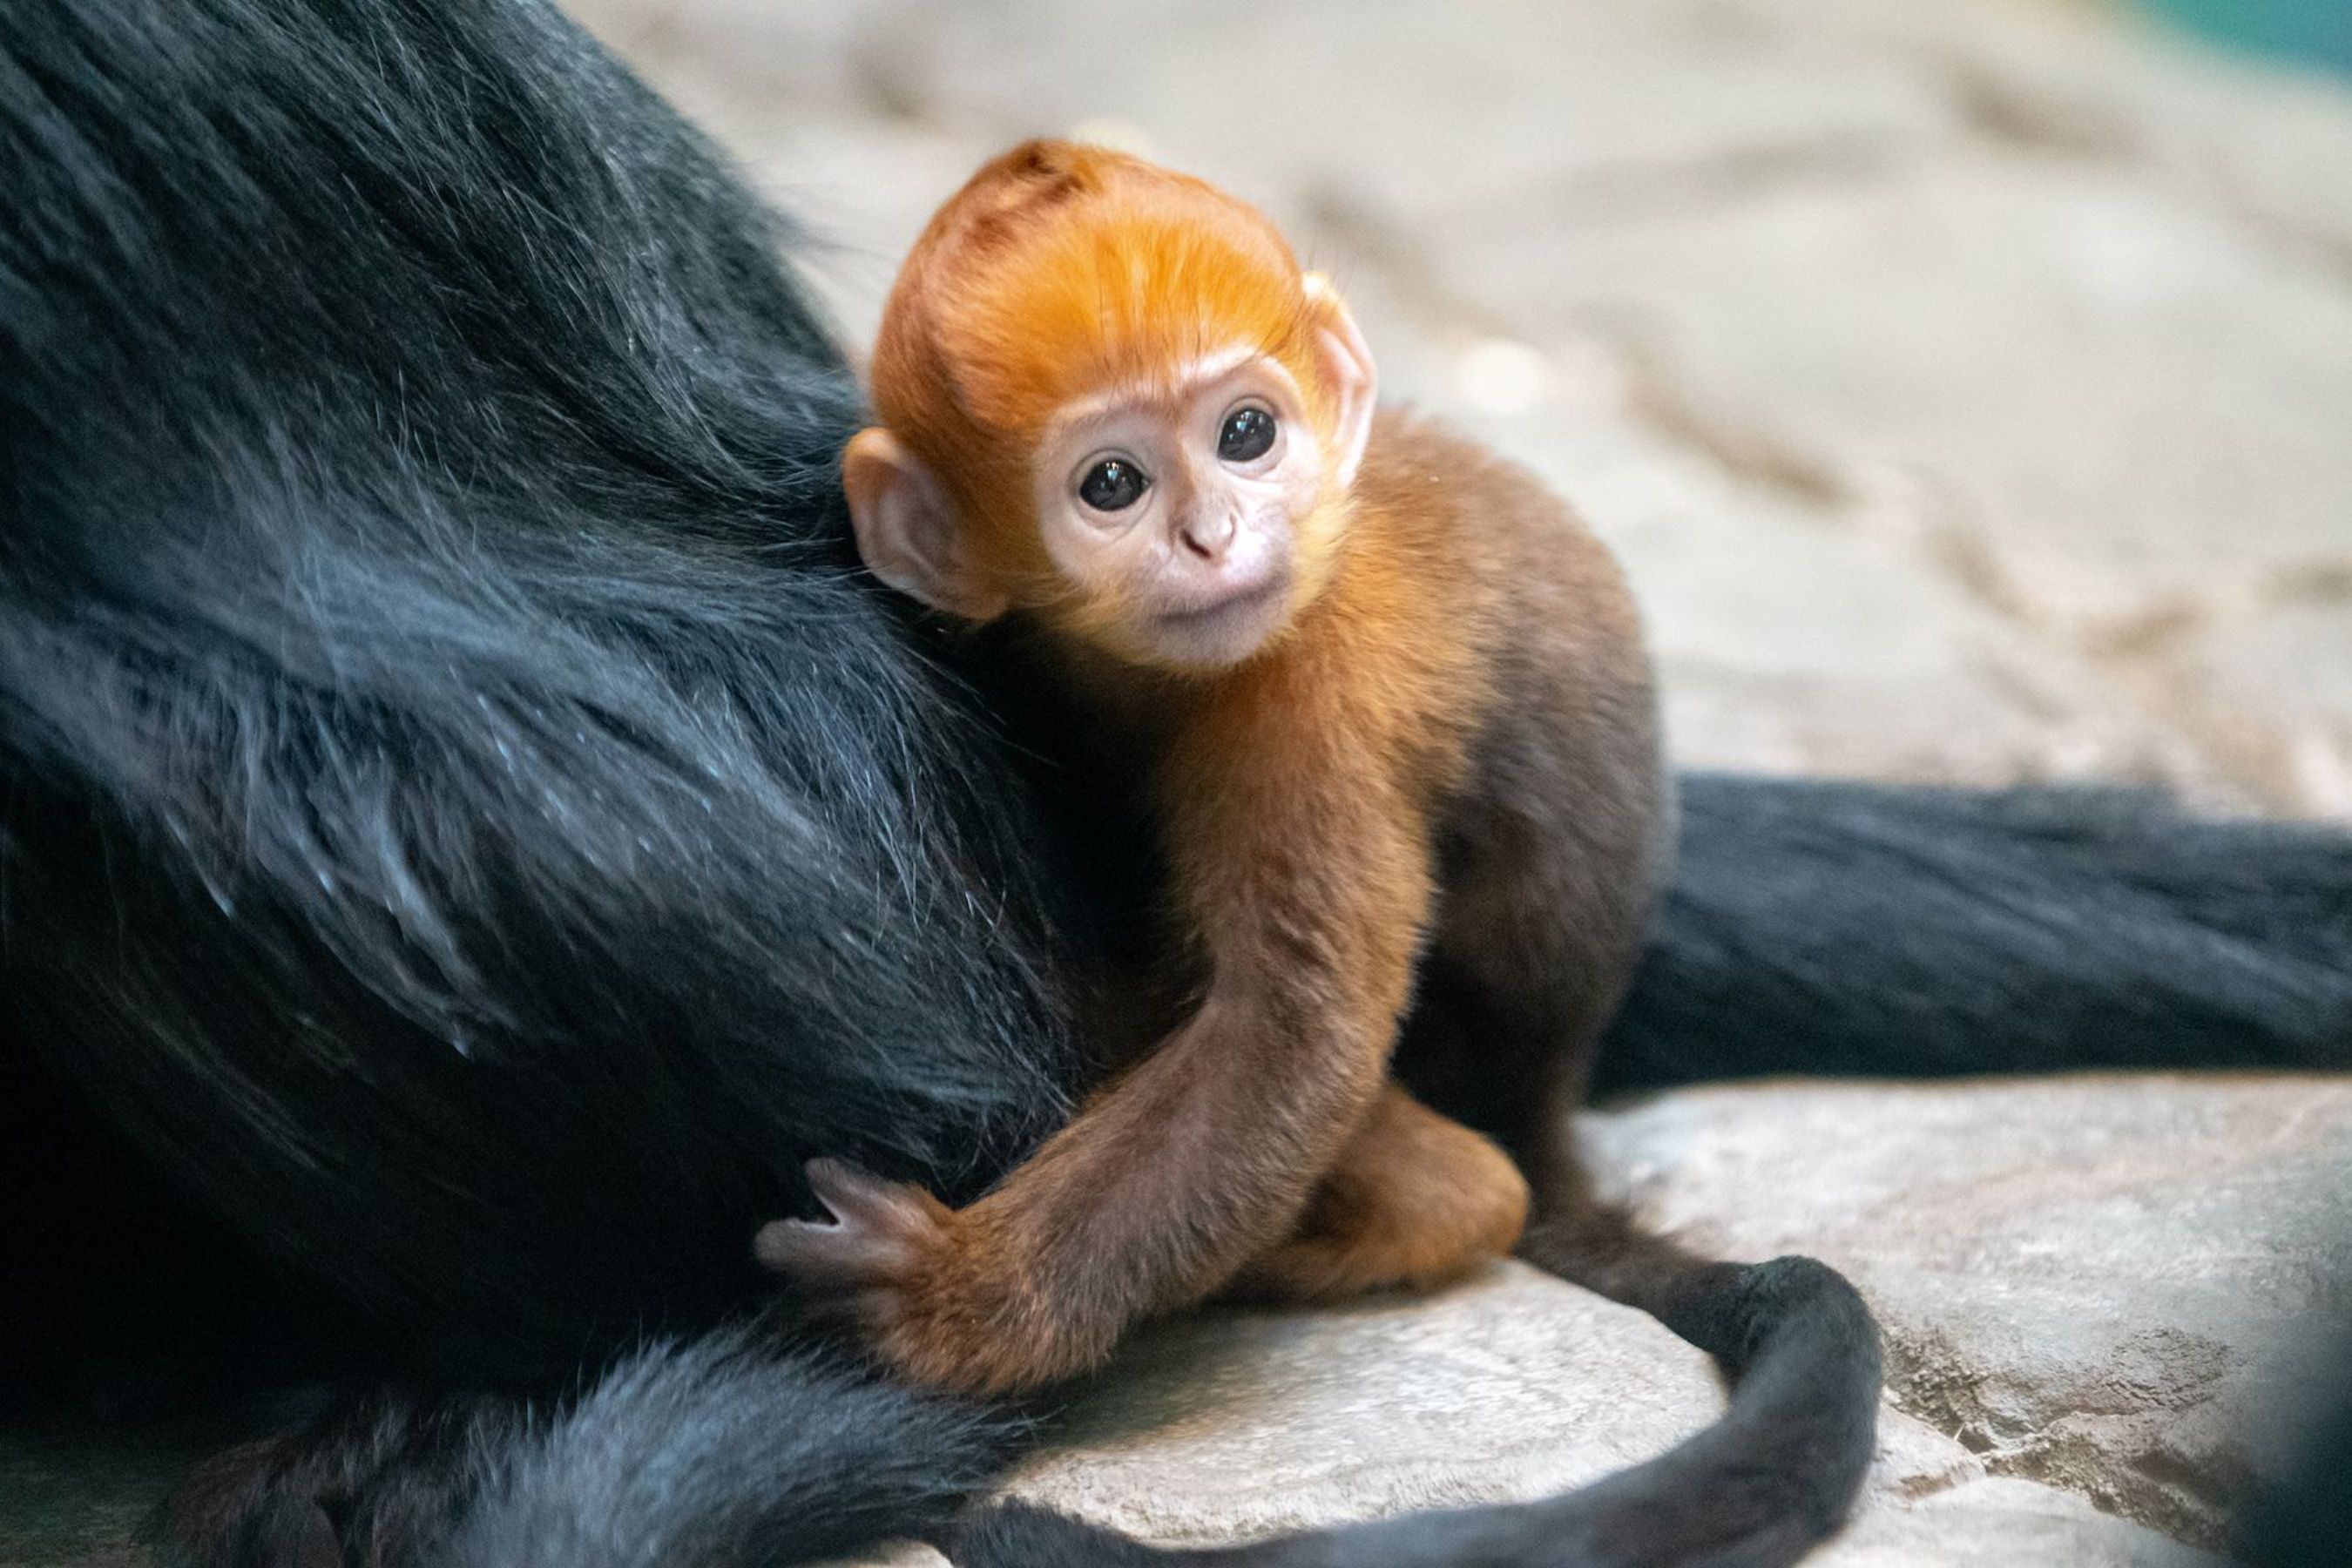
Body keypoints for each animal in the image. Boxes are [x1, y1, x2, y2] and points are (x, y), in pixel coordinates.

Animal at [753, 140, 1674, 1401]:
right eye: (1112, 485)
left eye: (1245, 435)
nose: (1214, 539)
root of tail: (1551, 1089)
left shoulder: (1309, 690)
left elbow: (1290, 1031)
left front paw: (954, 1302)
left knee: (1479, 1191)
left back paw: (1428, 1212)